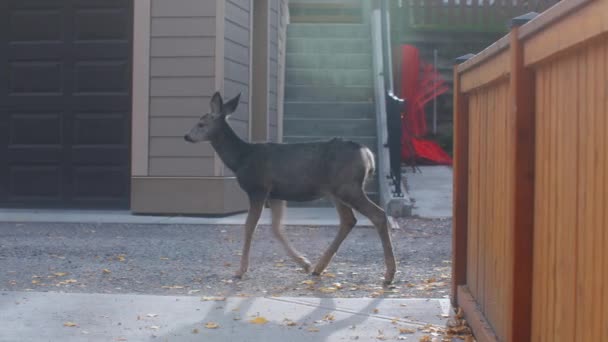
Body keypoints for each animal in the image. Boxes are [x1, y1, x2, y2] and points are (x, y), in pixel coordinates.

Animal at [183, 91, 396, 286]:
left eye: (201, 123)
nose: (186, 136)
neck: (240, 158)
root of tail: (367, 154)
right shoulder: (276, 194)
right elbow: (276, 228)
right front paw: (304, 263)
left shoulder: (258, 188)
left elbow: (250, 226)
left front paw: (240, 270)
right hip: (338, 191)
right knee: (348, 220)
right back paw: (318, 268)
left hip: (348, 187)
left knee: (377, 214)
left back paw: (389, 274)